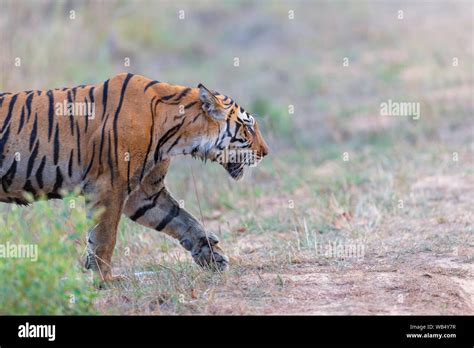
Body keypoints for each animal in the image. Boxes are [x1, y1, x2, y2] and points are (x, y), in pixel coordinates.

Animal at [0, 72, 268, 282]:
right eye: (248, 127)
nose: (265, 152)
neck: (176, 135)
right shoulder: (108, 186)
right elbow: (105, 237)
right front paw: (105, 280)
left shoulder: (144, 194)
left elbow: (183, 220)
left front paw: (212, 256)